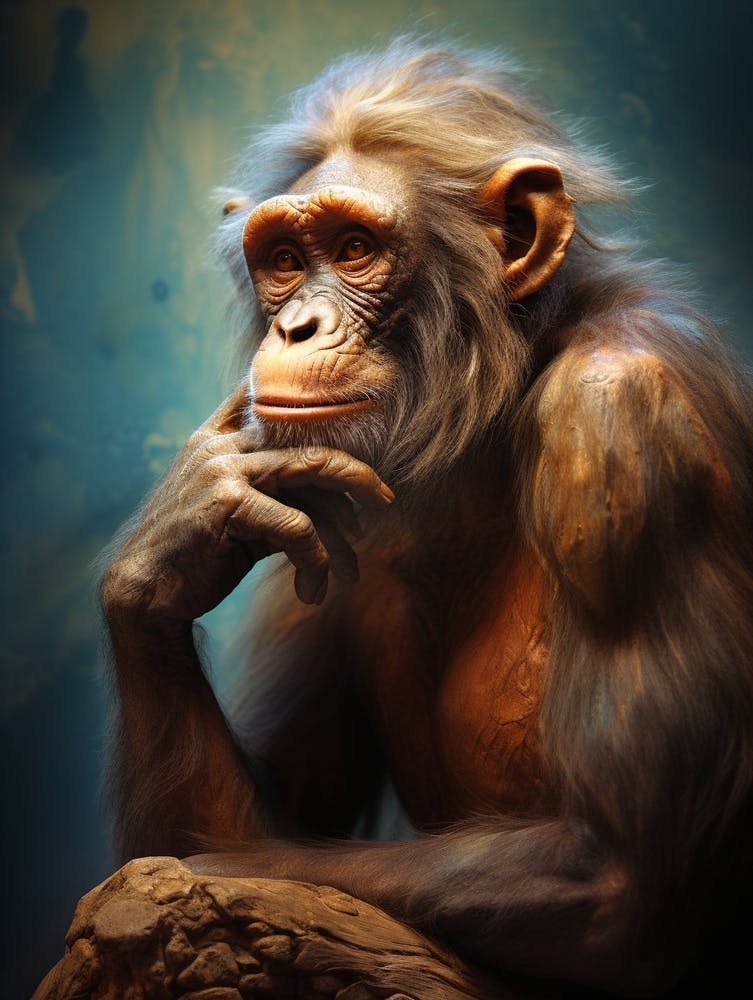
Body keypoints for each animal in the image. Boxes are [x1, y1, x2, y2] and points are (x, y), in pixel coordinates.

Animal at [100, 39, 753, 996]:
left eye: (355, 248)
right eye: (284, 258)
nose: (296, 327)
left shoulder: (625, 421)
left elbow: (617, 875)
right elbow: (225, 824)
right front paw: (181, 524)